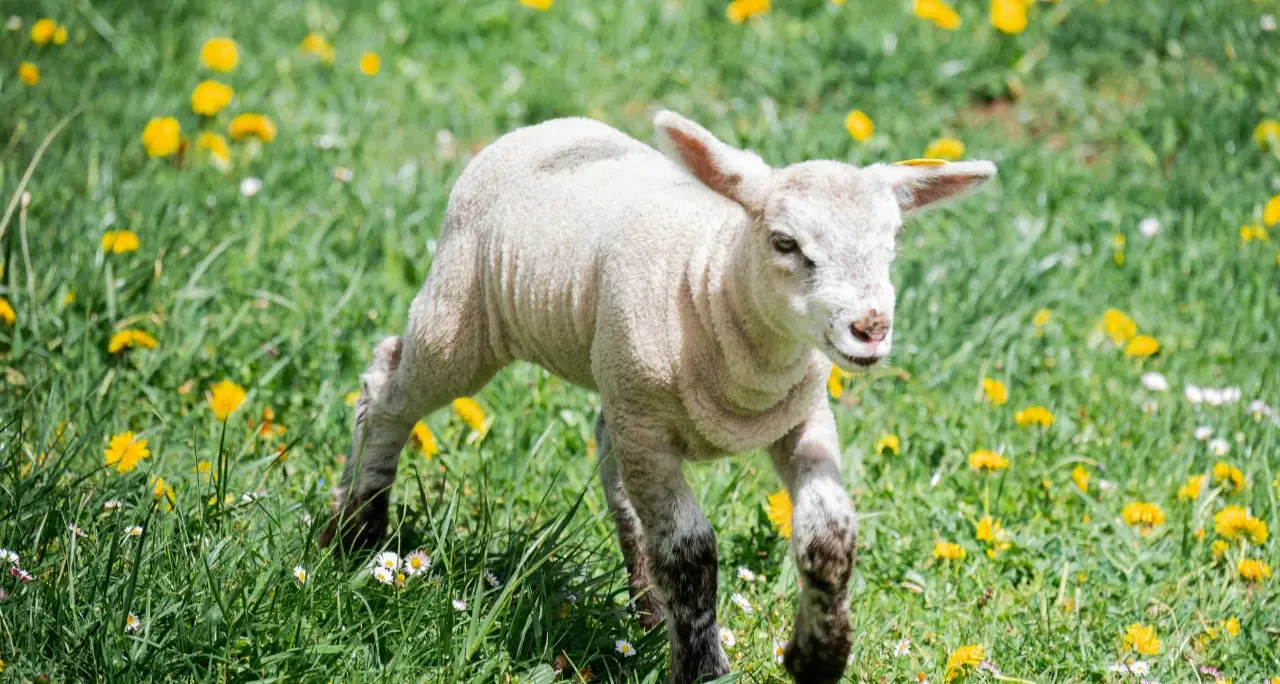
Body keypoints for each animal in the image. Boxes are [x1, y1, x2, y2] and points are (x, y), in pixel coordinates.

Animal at [320, 110, 996, 684]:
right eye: (785, 242)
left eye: (892, 244)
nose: (870, 329)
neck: (713, 288)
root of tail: (545, 125)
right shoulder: (649, 429)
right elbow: (689, 551)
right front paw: (704, 667)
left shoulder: (801, 419)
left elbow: (829, 535)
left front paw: (817, 657)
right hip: (463, 317)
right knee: (387, 383)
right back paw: (354, 534)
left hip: (613, 382)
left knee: (609, 461)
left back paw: (646, 612)